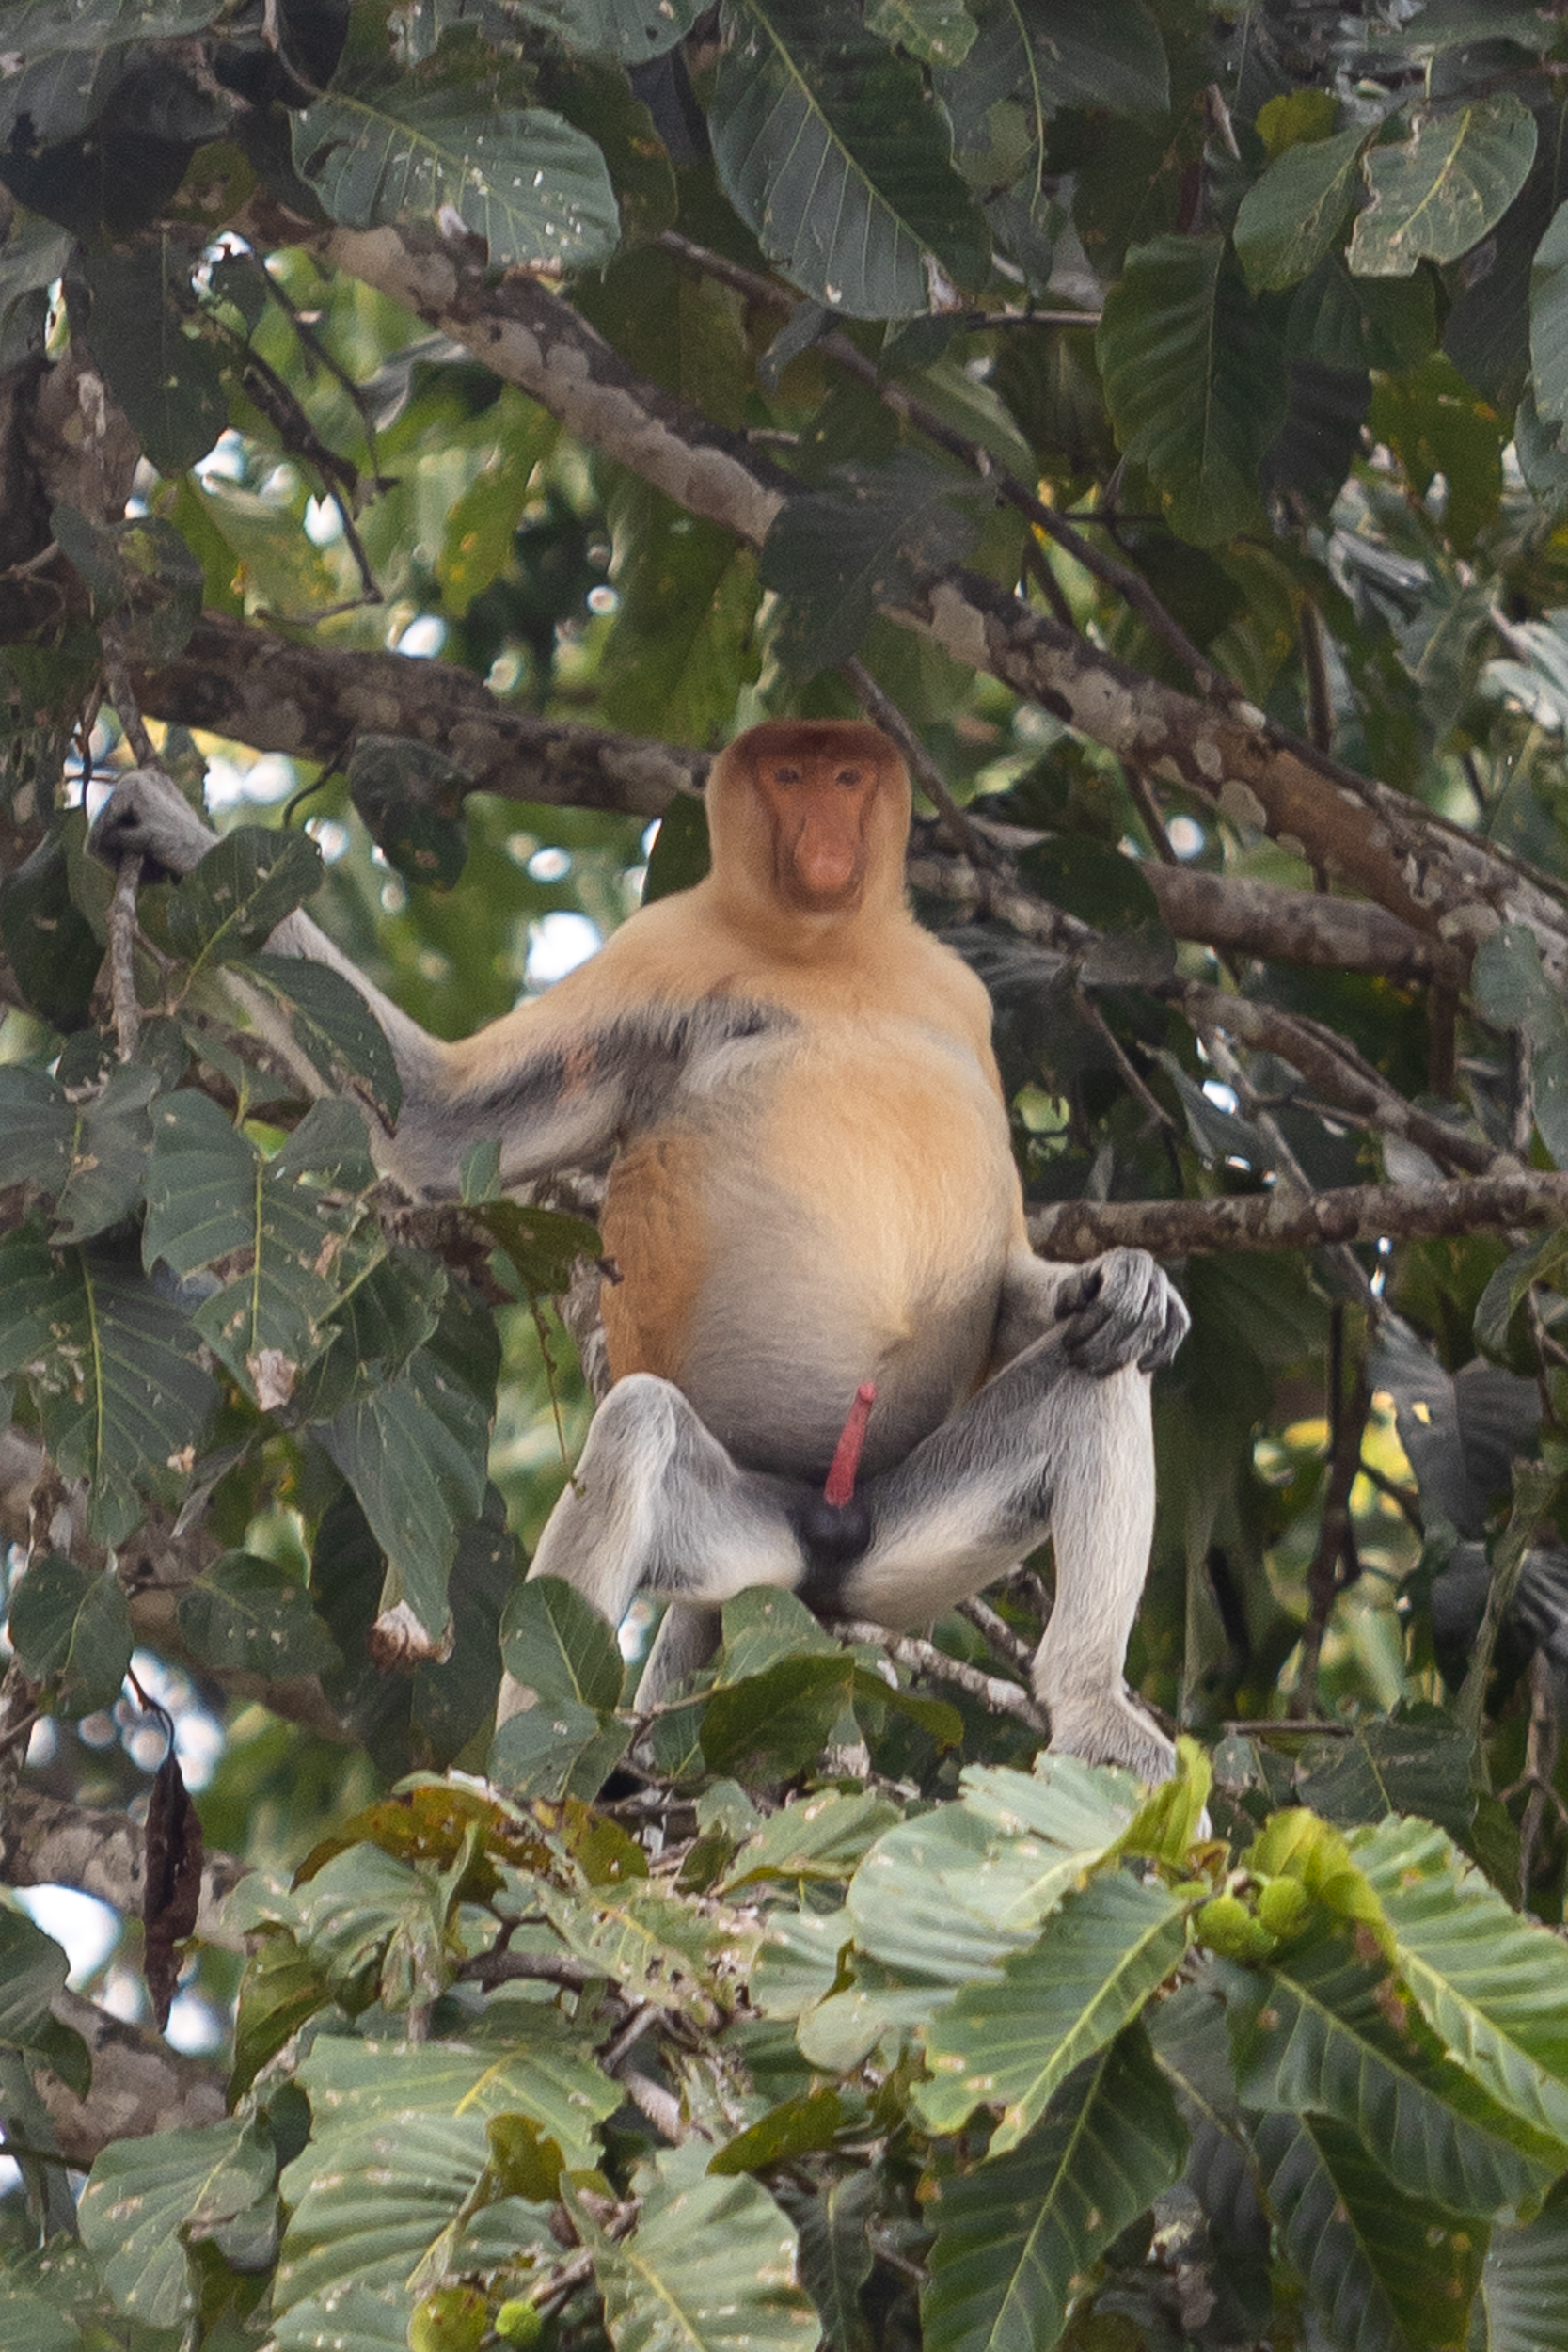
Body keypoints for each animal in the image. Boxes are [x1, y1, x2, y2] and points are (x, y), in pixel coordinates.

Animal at [91, 719, 1189, 1780]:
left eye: (845, 776)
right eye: (788, 776)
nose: (824, 836)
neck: (824, 946)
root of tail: (822, 1535)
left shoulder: (960, 991)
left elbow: (1007, 1281)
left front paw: (1121, 1279)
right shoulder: (657, 947)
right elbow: (439, 1127)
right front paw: (171, 835)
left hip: (903, 1540)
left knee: (1100, 1370)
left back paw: (1091, 1705)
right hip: (737, 1531)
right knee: (639, 1427)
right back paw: (535, 1780)